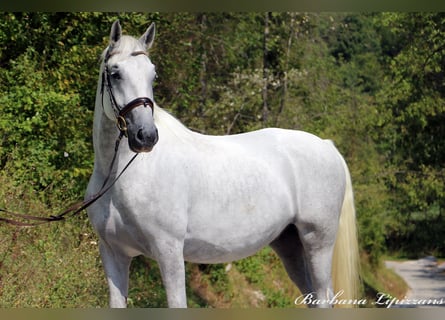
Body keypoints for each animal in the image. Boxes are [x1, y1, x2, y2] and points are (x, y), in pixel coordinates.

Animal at [85, 21, 360, 308]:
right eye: (115, 73)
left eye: (153, 76)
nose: (146, 136)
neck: (122, 177)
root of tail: (327, 146)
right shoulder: (113, 253)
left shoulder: (169, 251)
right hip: (290, 246)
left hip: (318, 242)